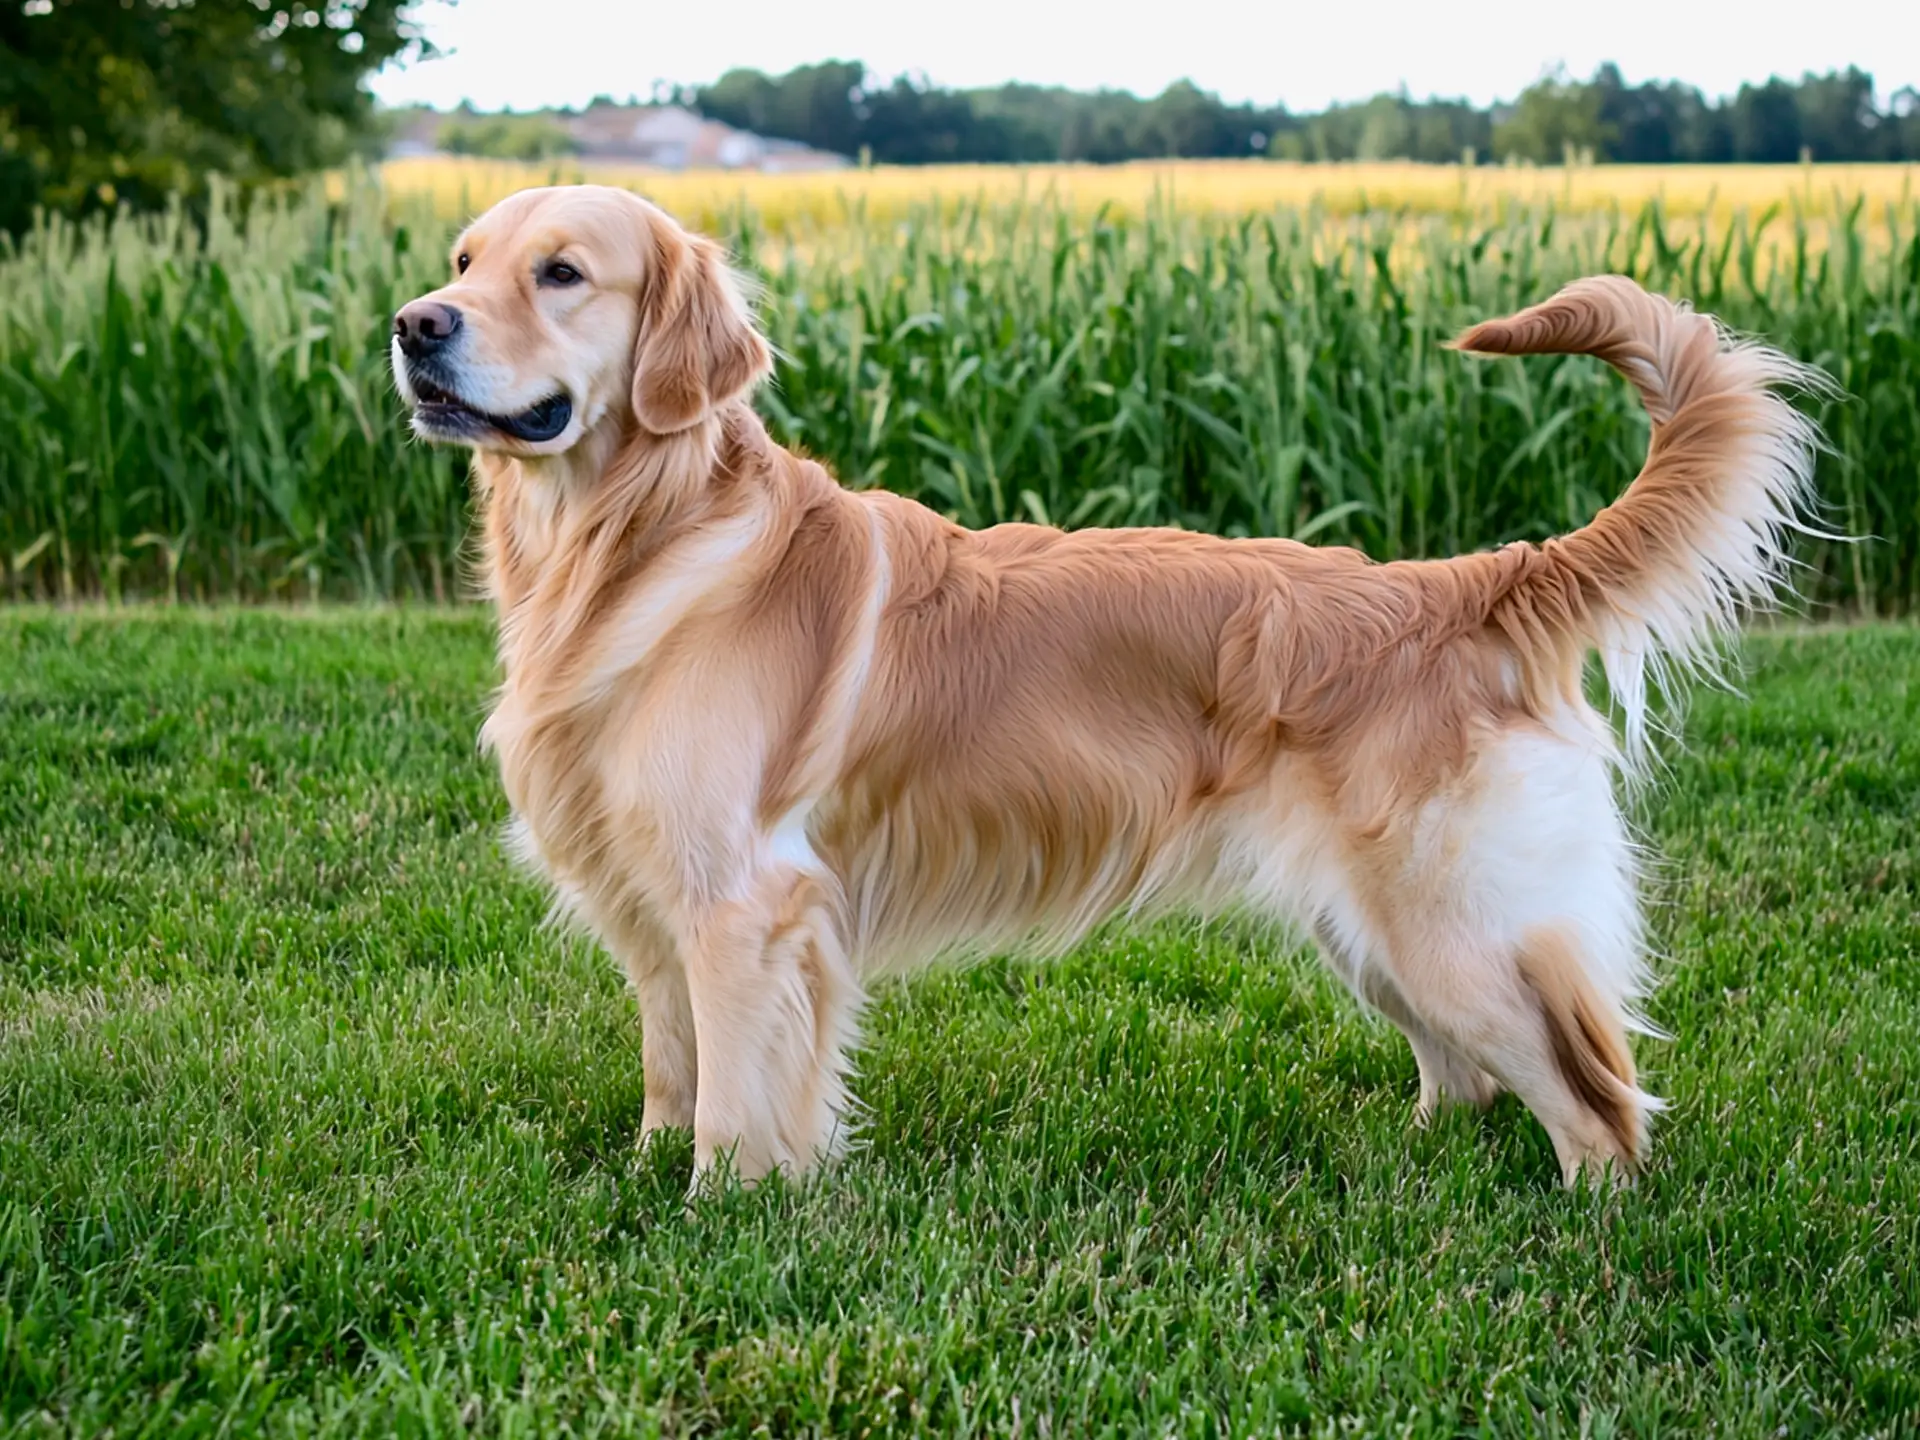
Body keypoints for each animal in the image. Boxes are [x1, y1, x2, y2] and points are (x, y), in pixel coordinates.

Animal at [385, 186, 1812, 1190]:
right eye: (461, 262)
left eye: (562, 272)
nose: (411, 327)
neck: (634, 543)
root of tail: (1464, 584)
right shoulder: (657, 909)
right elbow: (670, 1072)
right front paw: (644, 1183)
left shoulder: (746, 904)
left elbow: (735, 1110)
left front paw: (716, 1219)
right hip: (1368, 928)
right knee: (1466, 1086)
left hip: (1450, 927)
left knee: (1600, 1105)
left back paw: (1587, 1235)